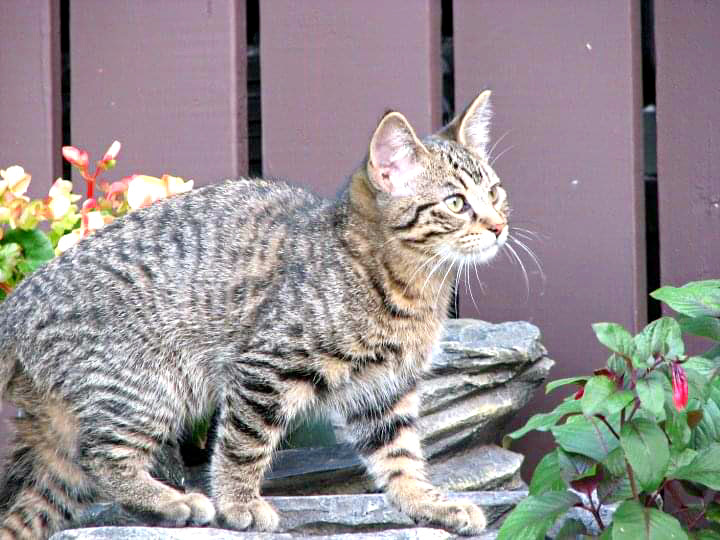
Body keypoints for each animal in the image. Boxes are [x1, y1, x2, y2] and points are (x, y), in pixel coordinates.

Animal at [0, 90, 506, 536]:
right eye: (456, 202)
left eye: (496, 193)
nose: (500, 226)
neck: (405, 285)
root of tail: (19, 300)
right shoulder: (265, 367)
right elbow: (244, 442)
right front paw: (238, 501)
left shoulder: (384, 392)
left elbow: (400, 458)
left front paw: (429, 504)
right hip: (148, 387)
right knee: (102, 459)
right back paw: (174, 500)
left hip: (65, 439)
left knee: (34, 506)